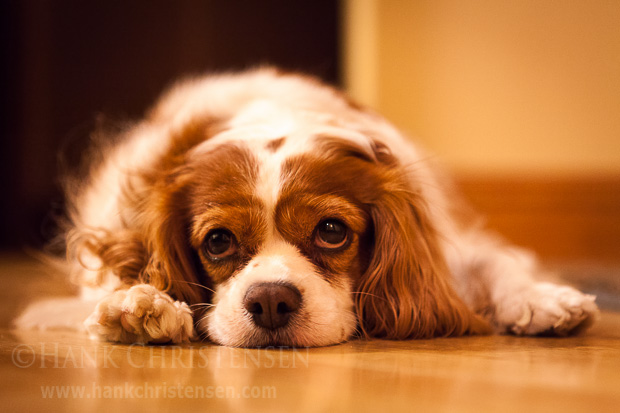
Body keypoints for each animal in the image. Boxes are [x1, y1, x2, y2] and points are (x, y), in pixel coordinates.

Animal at [17, 67, 600, 344]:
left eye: (332, 231)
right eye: (218, 241)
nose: (271, 301)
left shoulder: (446, 239)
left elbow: (498, 261)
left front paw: (541, 298)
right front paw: (142, 307)